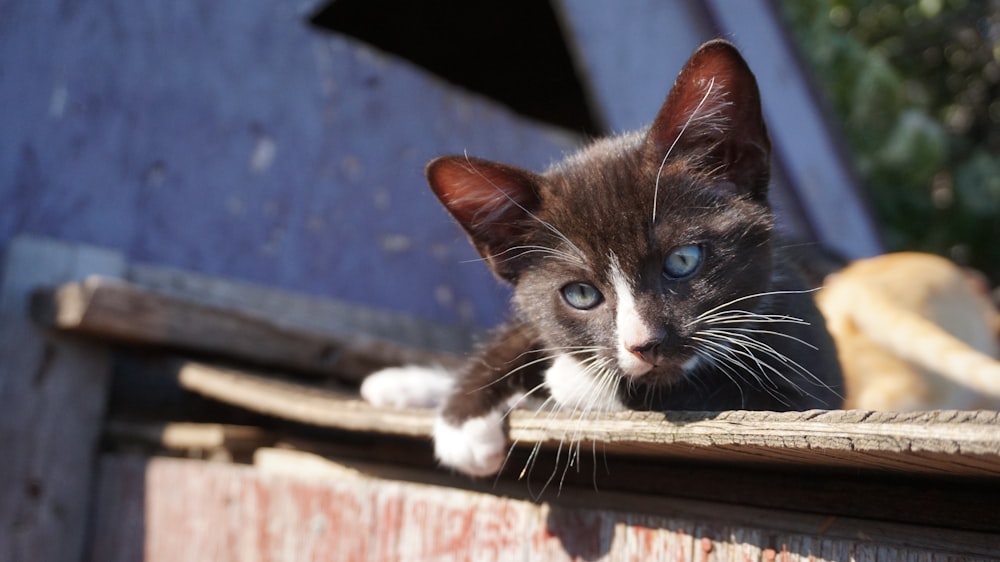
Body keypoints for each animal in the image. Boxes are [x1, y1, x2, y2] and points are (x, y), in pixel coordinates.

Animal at [360, 39, 844, 474]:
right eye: (580, 294)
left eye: (683, 261)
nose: (645, 344)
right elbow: (526, 332)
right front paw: (463, 416)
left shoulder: (804, 374)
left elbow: (713, 389)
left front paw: (568, 380)